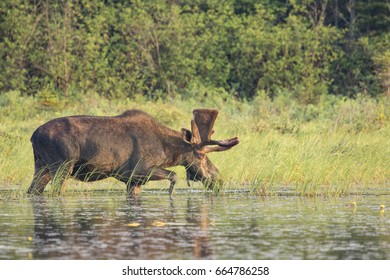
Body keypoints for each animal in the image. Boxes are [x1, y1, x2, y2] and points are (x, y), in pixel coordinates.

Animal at [26, 108, 238, 196]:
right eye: (202, 155)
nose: (218, 178)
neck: (167, 151)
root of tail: (33, 136)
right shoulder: (138, 170)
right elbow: (174, 175)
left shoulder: (133, 180)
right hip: (62, 166)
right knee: (55, 192)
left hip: (41, 166)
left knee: (32, 191)